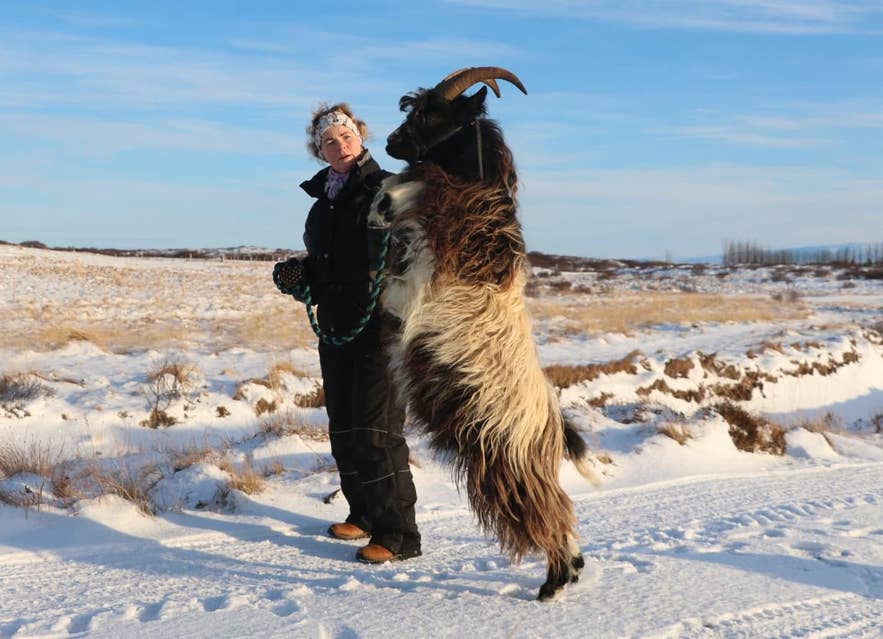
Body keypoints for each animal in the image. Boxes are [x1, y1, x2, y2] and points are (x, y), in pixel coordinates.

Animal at [368, 67, 600, 601]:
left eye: (432, 114)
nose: (389, 143)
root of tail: (553, 427)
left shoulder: (415, 288)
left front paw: (385, 201)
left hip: (504, 465)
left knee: (551, 511)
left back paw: (555, 582)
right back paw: (572, 569)